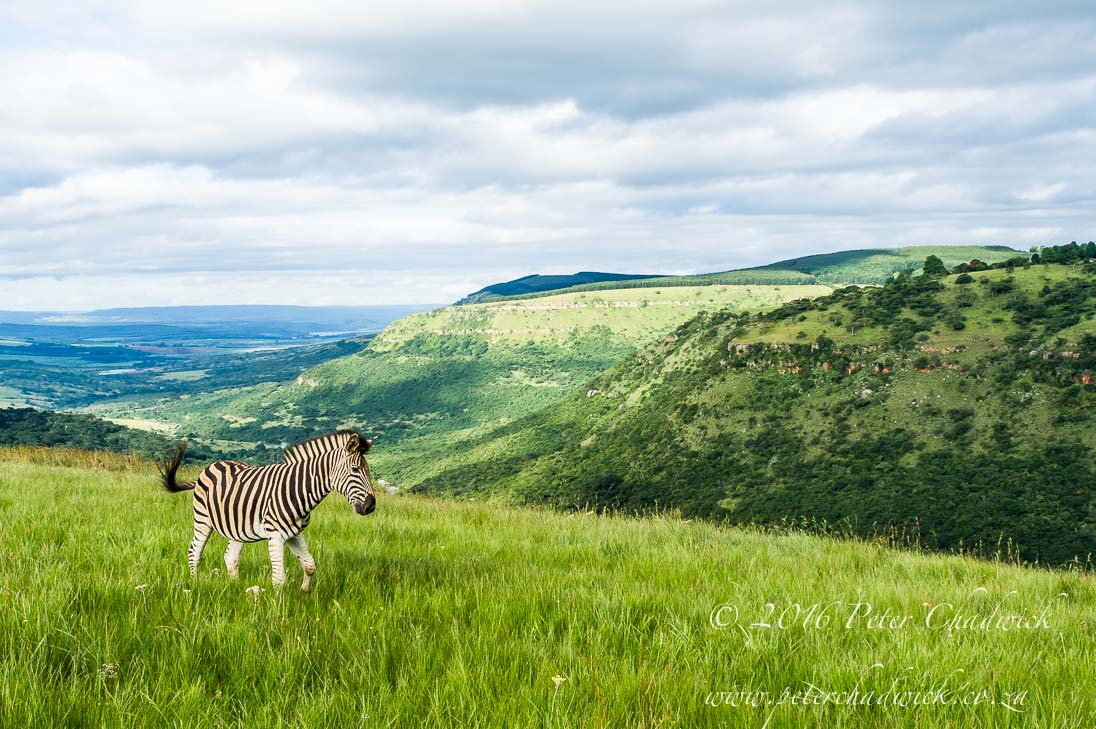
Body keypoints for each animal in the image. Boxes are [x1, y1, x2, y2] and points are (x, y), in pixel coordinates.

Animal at [160, 427, 377, 591]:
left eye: (368, 470)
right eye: (355, 470)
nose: (371, 506)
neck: (298, 489)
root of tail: (210, 466)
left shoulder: (293, 533)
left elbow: (309, 566)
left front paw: (305, 594)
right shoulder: (276, 534)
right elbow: (279, 579)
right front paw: (278, 612)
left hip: (237, 527)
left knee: (230, 558)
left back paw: (235, 589)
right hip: (203, 519)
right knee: (194, 551)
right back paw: (195, 584)